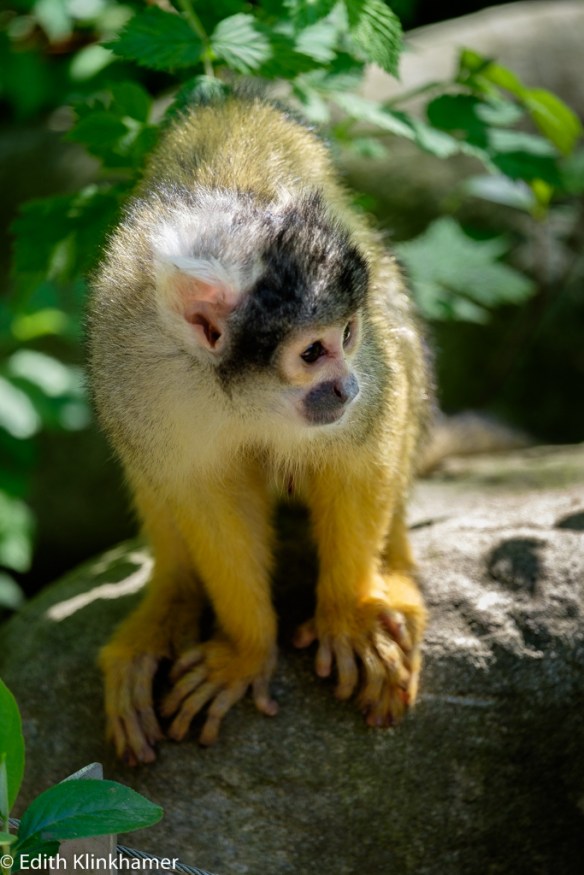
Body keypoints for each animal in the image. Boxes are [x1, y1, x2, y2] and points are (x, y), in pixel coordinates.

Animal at [87, 93, 431, 765]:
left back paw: (395, 577)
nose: (347, 388)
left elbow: (362, 452)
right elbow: (205, 494)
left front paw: (348, 613)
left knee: (397, 345)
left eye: (347, 335)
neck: (234, 393)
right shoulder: (133, 375)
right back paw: (168, 605)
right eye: (312, 352)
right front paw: (246, 651)